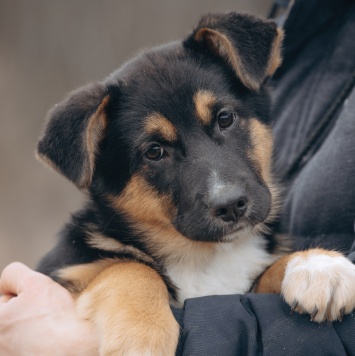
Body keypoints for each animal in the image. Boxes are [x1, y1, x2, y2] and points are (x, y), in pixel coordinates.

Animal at [36, 11, 355, 356]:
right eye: (154, 151)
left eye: (225, 118)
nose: (230, 206)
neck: (207, 256)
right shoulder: (65, 269)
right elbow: (128, 268)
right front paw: (142, 334)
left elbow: (264, 273)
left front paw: (318, 265)